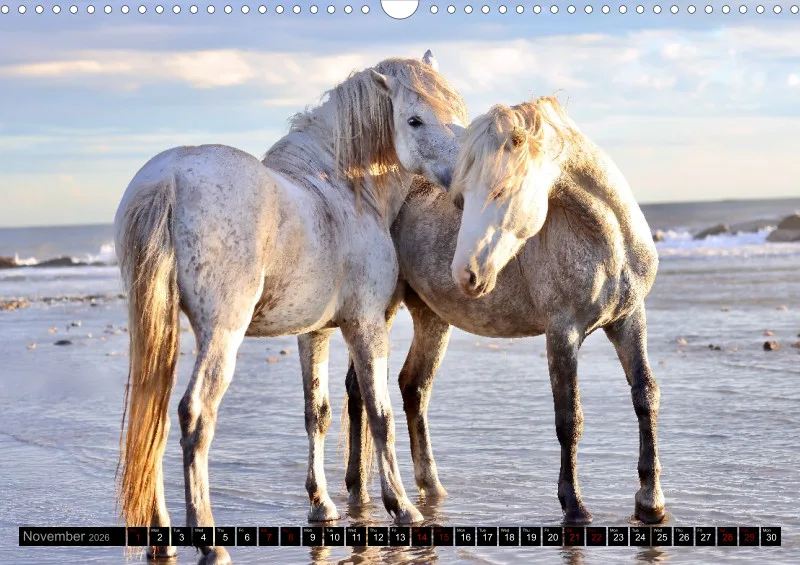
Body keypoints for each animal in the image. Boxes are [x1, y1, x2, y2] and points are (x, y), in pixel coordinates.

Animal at [113, 51, 468, 564]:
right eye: (414, 119)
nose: (463, 177)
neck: (343, 190)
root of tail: (170, 179)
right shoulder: (365, 324)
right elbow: (380, 414)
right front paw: (402, 507)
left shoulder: (314, 331)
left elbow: (316, 412)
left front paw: (321, 505)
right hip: (222, 334)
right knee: (195, 415)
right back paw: (209, 542)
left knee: (154, 415)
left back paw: (162, 540)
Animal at [341, 96, 665, 526]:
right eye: (461, 198)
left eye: (501, 190)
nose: (466, 273)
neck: (606, 239)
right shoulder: (562, 332)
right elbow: (569, 419)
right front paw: (574, 505)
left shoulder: (629, 319)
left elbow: (645, 395)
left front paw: (651, 501)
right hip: (382, 309)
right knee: (360, 389)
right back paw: (358, 490)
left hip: (432, 317)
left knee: (414, 386)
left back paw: (431, 487)